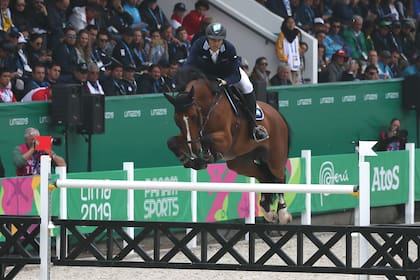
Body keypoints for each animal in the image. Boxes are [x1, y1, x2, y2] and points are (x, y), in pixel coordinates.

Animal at [164, 66, 292, 224]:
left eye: (194, 116)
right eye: (176, 120)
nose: (193, 150)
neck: (208, 106)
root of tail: (278, 115)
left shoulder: (225, 139)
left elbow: (205, 139)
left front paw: (205, 156)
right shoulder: (189, 137)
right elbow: (172, 142)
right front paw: (191, 161)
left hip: (275, 157)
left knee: (280, 177)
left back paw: (283, 213)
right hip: (240, 162)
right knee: (263, 176)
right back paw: (268, 211)